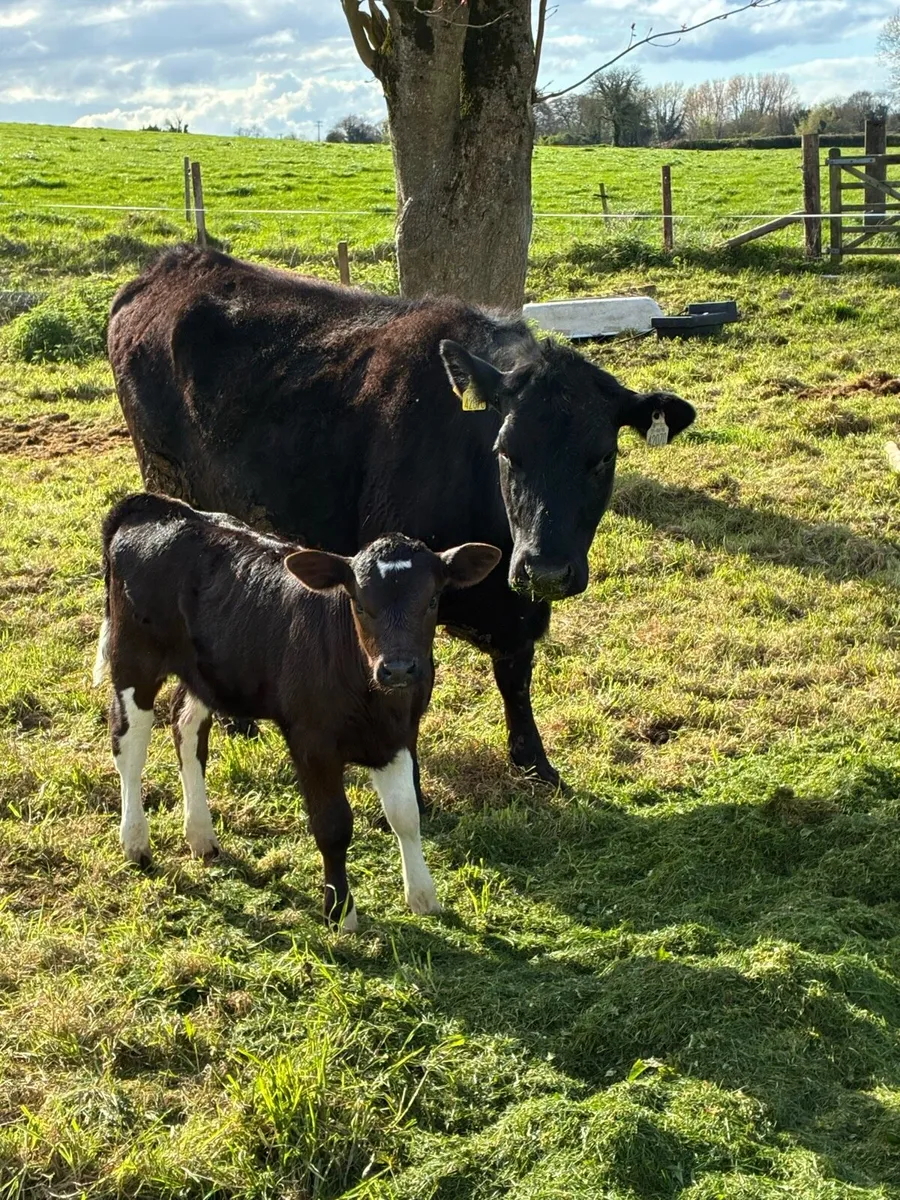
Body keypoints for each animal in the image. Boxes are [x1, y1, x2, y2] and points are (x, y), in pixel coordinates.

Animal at [93, 492, 501, 928]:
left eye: (433, 600)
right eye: (359, 603)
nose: (398, 668)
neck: (375, 698)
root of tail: (155, 506)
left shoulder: (399, 735)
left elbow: (406, 813)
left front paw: (423, 896)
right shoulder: (312, 742)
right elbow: (333, 826)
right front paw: (340, 912)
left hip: (204, 671)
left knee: (185, 727)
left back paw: (201, 836)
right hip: (133, 659)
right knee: (129, 745)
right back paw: (136, 841)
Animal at [108, 246, 695, 795]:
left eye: (602, 457)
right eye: (506, 451)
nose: (545, 571)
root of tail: (170, 266)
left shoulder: (517, 608)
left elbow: (516, 676)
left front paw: (536, 764)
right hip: (171, 483)